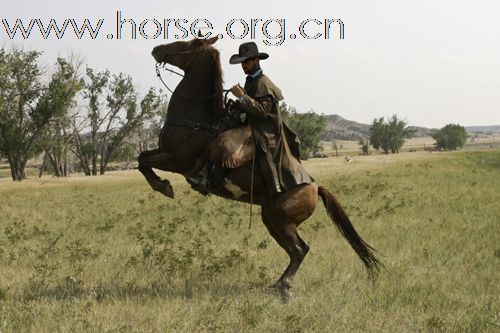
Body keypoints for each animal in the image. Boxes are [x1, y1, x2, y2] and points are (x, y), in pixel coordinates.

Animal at [139, 36, 380, 298]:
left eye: (187, 43)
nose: (156, 49)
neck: (197, 120)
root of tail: (316, 188)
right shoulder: (163, 153)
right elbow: (142, 157)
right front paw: (162, 185)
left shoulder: (176, 160)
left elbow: (143, 162)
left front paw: (164, 186)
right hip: (272, 220)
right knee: (297, 250)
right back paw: (279, 284)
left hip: (280, 220)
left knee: (300, 249)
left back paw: (283, 286)